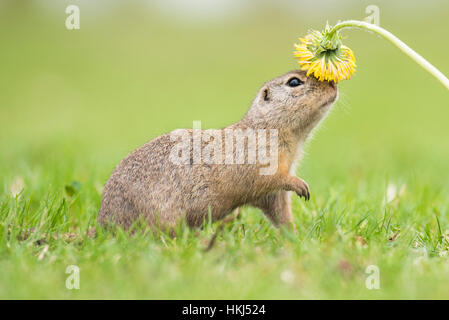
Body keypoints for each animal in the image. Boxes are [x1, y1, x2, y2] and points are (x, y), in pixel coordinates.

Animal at [98, 69, 336, 230]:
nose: (334, 84)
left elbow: (281, 213)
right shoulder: (261, 165)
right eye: (294, 82)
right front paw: (301, 186)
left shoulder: (273, 194)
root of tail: (103, 222)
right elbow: (272, 179)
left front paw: (295, 237)